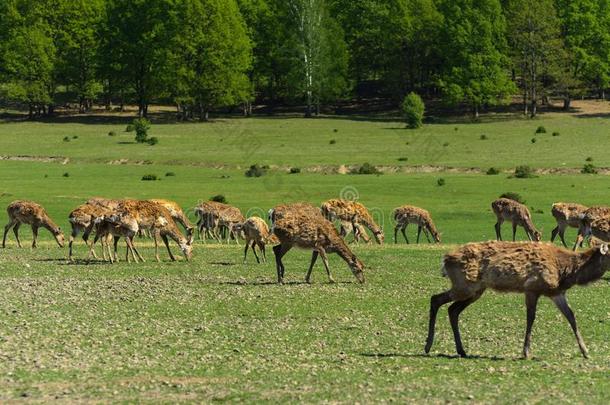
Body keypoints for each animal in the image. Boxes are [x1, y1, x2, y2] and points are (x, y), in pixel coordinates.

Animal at [422, 240, 608, 356]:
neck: (566, 271)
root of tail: (445, 260)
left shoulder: (556, 293)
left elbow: (571, 316)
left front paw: (585, 351)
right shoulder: (532, 288)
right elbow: (531, 318)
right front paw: (526, 352)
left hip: (475, 290)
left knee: (452, 309)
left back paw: (461, 350)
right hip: (464, 285)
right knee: (436, 299)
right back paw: (428, 346)